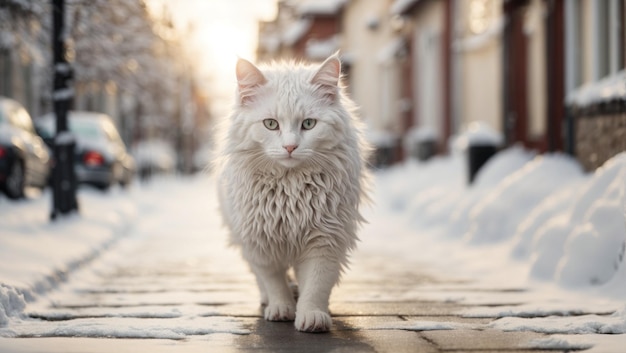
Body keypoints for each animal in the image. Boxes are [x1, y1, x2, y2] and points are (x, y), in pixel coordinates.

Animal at [216, 51, 370, 330]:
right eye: (270, 124)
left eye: (308, 124)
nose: (290, 147)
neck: (290, 189)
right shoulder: (260, 242)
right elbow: (274, 281)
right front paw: (281, 309)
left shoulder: (325, 239)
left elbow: (317, 284)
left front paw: (312, 315)